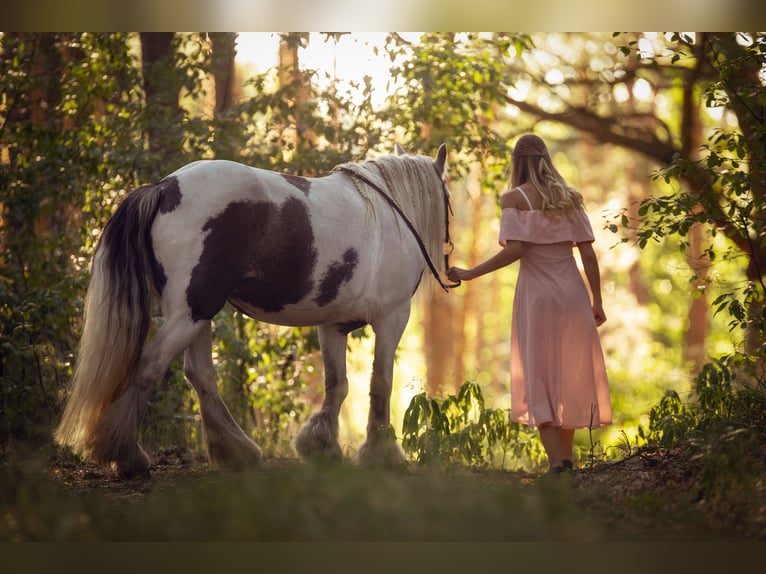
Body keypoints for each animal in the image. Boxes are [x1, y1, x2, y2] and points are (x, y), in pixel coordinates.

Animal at [54, 145, 456, 482]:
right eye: (450, 200)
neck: (389, 216)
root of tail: (165, 187)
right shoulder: (392, 318)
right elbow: (380, 383)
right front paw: (381, 453)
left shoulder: (332, 325)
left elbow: (336, 385)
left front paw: (321, 445)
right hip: (192, 311)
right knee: (151, 366)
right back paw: (127, 455)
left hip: (194, 314)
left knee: (200, 375)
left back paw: (236, 452)